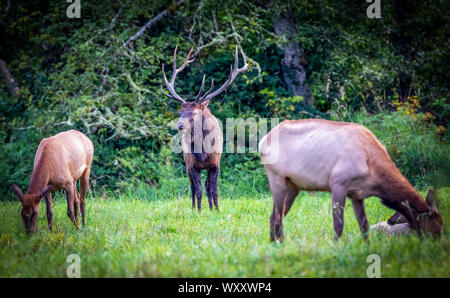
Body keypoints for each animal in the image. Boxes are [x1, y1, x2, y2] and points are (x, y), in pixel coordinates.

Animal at [160, 44, 248, 212]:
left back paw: (212, 208)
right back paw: (195, 208)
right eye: (180, 112)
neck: (203, 152)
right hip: (186, 162)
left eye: (194, 112)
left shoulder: (216, 163)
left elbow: (213, 189)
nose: (180, 126)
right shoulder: (192, 165)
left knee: (207, 187)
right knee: (194, 187)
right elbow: (198, 189)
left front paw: (217, 211)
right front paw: (199, 212)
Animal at [260, 118, 442, 242]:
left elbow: (364, 225)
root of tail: (262, 142)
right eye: (436, 229)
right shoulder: (338, 184)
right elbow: (338, 225)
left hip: (293, 186)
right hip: (277, 179)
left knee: (275, 216)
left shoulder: (357, 194)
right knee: (276, 216)